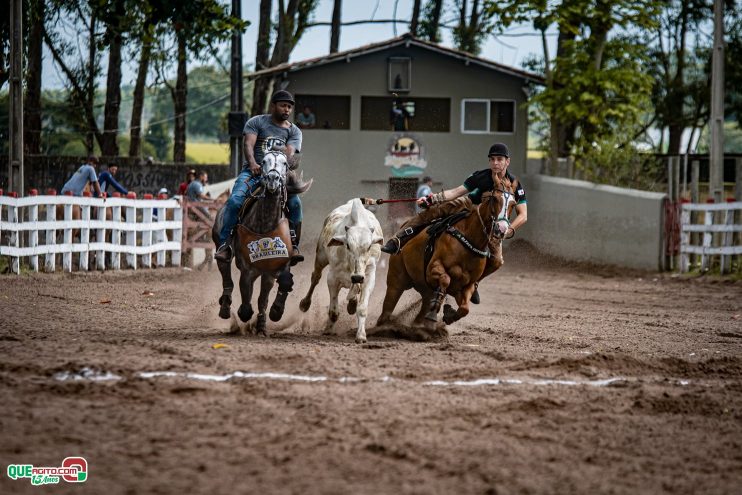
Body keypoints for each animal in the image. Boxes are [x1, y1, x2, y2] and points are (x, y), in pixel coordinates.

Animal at [211, 152, 312, 338]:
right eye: (264, 161)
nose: (272, 178)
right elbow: (246, 298)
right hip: (221, 250)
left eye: (285, 163)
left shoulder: (273, 269)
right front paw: (246, 315)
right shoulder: (247, 269)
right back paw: (225, 307)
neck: (265, 222)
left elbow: (265, 297)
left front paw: (267, 320)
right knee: (227, 277)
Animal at [300, 200, 384, 342]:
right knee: (315, 278)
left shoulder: (368, 277)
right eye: (348, 245)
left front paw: (361, 335)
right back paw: (305, 303)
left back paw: (352, 304)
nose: (357, 277)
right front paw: (328, 330)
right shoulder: (332, 278)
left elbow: (362, 308)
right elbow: (334, 312)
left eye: (369, 247)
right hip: (321, 257)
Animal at [378, 184, 512, 340]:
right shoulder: (433, 269)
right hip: (396, 280)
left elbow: (464, 308)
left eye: (513, 204)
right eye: (495, 199)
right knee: (387, 308)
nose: (501, 229)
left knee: (422, 308)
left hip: (424, 289)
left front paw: (448, 315)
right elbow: (445, 279)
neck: (469, 241)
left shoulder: (466, 285)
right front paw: (437, 313)